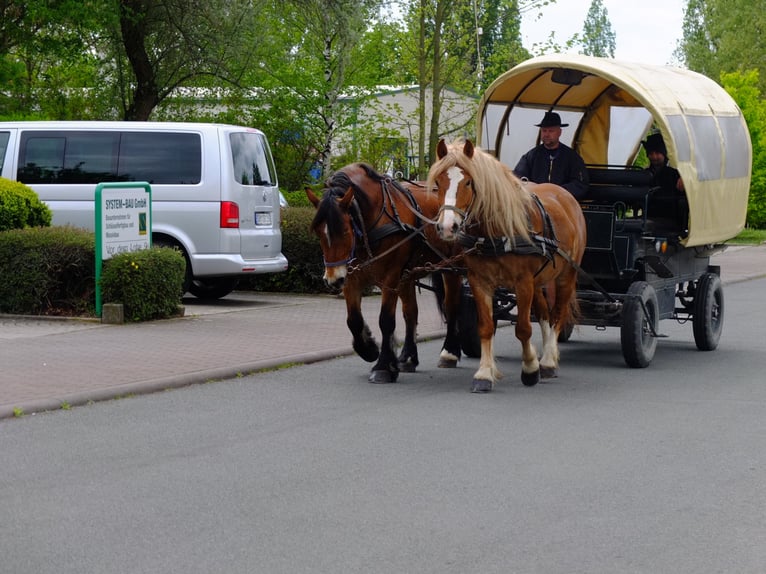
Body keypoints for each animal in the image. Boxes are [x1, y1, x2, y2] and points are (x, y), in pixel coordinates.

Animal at [306, 164, 462, 384]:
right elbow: (353, 319)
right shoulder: (351, 278)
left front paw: (383, 367)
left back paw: (449, 353)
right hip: (408, 275)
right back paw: (407, 358)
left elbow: (386, 320)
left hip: (451, 267)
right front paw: (369, 348)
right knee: (411, 313)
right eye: (319, 233)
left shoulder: (390, 278)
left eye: (345, 231)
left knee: (451, 307)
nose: (332, 280)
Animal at [428, 140, 584, 394]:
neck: (497, 232)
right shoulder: (480, 281)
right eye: (439, 182)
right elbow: (486, 327)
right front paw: (484, 374)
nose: (447, 227)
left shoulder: (523, 283)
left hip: (566, 275)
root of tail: (564, 195)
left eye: (468, 182)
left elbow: (522, 328)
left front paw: (530, 369)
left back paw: (548, 361)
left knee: (557, 314)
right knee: (544, 313)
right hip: (539, 281)